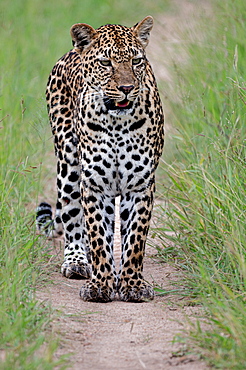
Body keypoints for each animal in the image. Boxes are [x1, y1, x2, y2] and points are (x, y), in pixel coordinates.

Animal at [36, 15, 164, 302]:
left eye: (136, 61)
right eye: (106, 63)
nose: (126, 88)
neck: (116, 123)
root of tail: (71, 51)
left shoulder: (140, 185)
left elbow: (135, 239)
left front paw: (132, 285)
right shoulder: (94, 185)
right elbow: (97, 237)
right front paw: (100, 285)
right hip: (69, 166)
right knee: (73, 219)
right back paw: (76, 262)